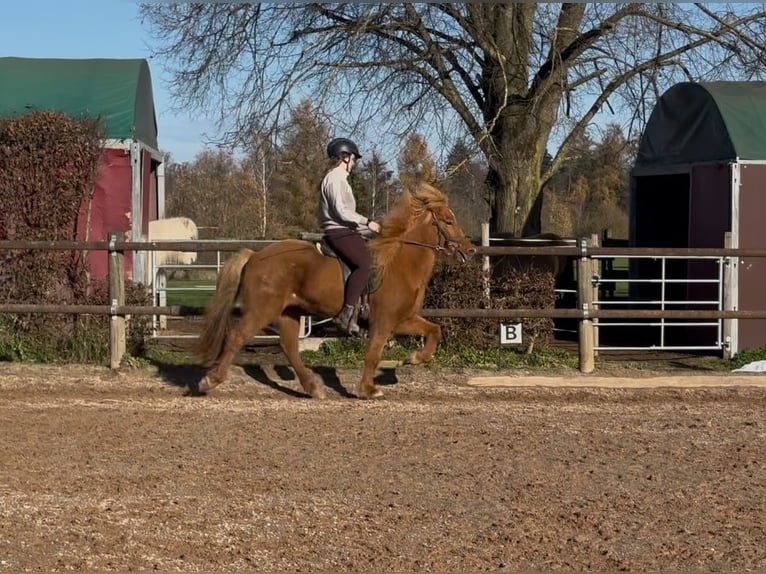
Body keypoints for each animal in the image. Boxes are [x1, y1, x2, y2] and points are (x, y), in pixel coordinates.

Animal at [195, 183, 476, 400]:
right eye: (449, 221)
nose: (469, 250)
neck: (399, 262)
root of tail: (255, 256)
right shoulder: (384, 321)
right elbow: (373, 354)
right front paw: (368, 389)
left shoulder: (402, 319)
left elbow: (434, 330)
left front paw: (414, 359)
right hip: (262, 310)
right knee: (236, 337)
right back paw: (210, 380)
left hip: (289, 312)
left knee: (289, 347)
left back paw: (313, 388)